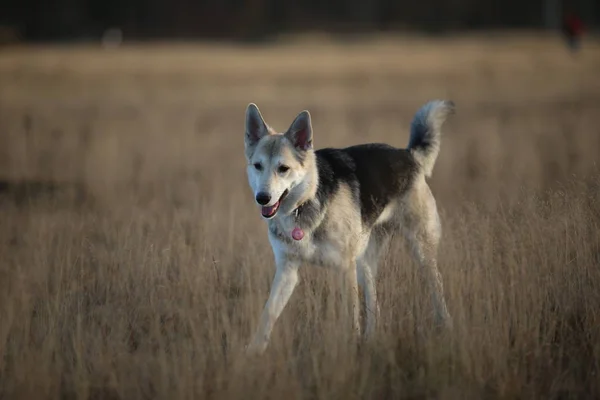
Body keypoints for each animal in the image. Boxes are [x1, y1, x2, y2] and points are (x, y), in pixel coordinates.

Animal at [241, 99, 452, 354]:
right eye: (257, 166)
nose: (262, 198)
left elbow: (351, 317)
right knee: (374, 304)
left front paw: (351, 349)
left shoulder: (344, 268)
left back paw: (446, 328)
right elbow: (268, 313)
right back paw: (371, 339)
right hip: (364, 263)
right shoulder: (287, 270)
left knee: (437, 287)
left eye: (283, 169)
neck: (305, 203)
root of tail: (407, 154)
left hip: (419, 250)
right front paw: (254, 351)